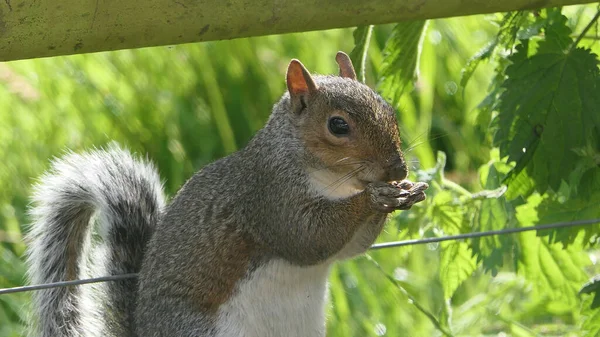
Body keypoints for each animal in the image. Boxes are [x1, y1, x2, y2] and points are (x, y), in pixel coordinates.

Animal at [25, 51, 428, 334]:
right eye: (338, 125)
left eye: (388, 108)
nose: (398, 169)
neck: (333, 181)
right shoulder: (267, 198)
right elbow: (307, 237)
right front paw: (375, 198)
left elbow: (349, 248)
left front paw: (402, 192)